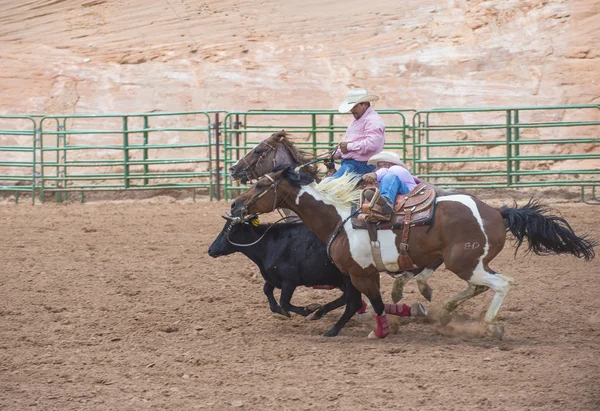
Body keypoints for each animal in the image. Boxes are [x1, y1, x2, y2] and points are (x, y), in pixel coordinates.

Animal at [209, 219, 364, 338]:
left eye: (226, 232)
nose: (210, 250)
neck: (269, 245)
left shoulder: (290, 281)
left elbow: (284, 302)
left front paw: (307, 309)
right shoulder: (272, 277)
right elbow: (267, 290)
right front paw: (283, 311)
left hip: (349, 279)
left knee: (352, 303)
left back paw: (331, 330)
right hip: (343, 281)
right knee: (349, 300)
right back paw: (320, 314)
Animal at [231, 166, 596, 340]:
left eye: (260, 185)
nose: (235, 205)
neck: (341, 218)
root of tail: (497, 211)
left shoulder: (362, 273)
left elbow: (372, 303)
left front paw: (379, 330)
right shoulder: (354, 275)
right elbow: (363, 302)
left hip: (466, 263)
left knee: (502, 284)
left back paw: (490, 326)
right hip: (470, 264)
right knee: (479, 286)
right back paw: (445, 312)